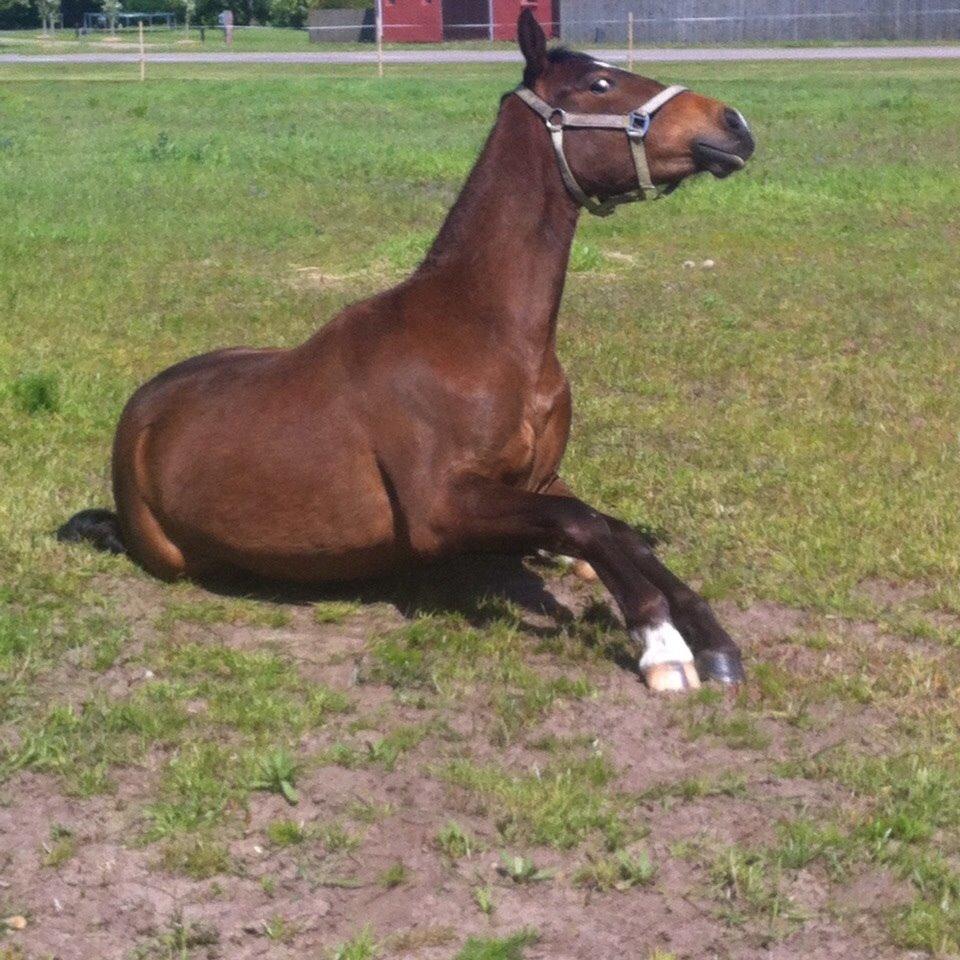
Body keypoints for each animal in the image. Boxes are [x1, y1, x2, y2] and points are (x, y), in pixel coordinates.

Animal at [62, 11, 756, 692]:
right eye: (599, 85)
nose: (734, 125)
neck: (484, 336)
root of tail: (140, 414)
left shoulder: (541, 479)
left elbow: (619, 532)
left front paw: (711, 637)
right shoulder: (440, 511)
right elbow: (585, 523)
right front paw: (663, 644)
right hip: (172, 556)